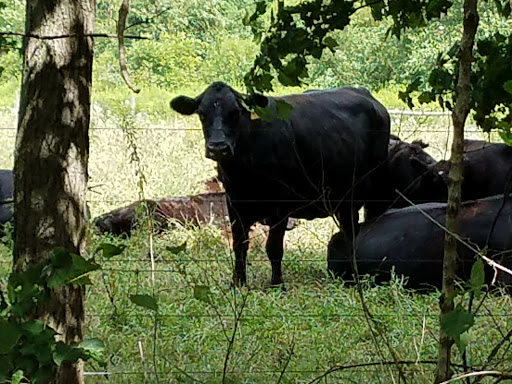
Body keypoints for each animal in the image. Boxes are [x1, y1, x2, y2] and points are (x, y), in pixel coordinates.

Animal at [170, 82, 390, 286]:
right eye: (202, 113)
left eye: (235, 113)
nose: (218, 147)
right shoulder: (234, 204)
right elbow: (239, 245)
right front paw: (238, 282)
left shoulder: (280, 206)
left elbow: (274, 248)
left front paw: (276, 283)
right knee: (348, 232)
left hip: (372, 194)